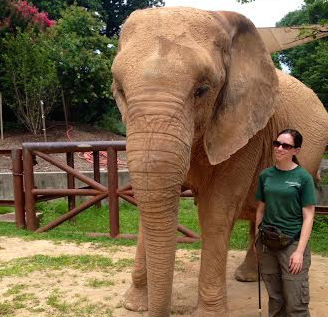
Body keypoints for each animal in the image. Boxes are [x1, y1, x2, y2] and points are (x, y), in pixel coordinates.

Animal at [111, 6, 328, 316]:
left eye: (202, 90)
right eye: (120, 90)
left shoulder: (247, 130)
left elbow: (216, 211)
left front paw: (209, 313)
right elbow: (149, 201)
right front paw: (134, 305)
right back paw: (248, 277)